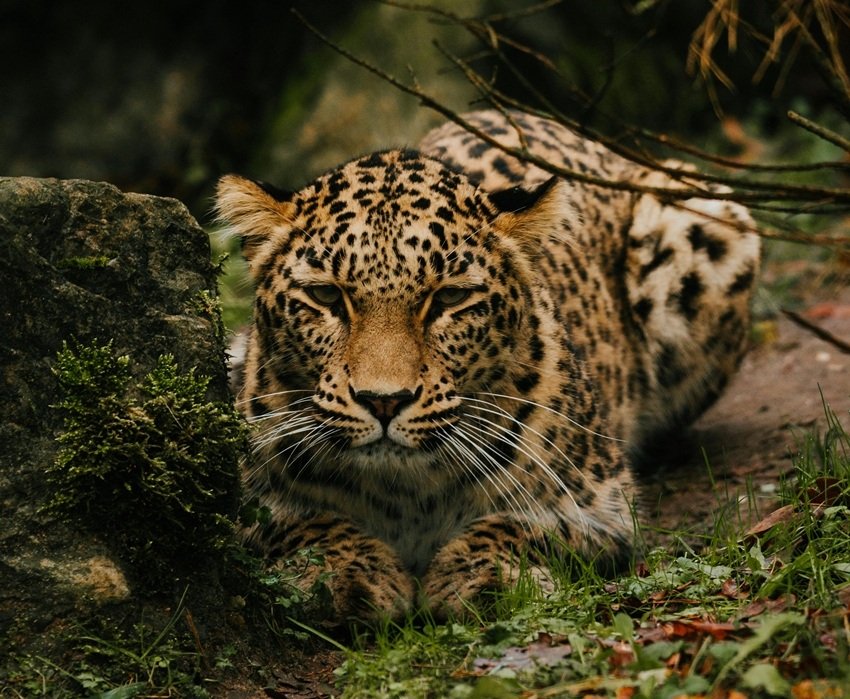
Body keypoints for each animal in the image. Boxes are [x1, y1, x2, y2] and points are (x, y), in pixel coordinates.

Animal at [215, 109, 760, 623]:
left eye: (449, 299)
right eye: (326, 296)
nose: (384, 402)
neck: (403, 493)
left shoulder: (602, 502)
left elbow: (525, 527)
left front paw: (484, 579)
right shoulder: (246, 491)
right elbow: (299, 525)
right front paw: (347, 575)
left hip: (706, 216)